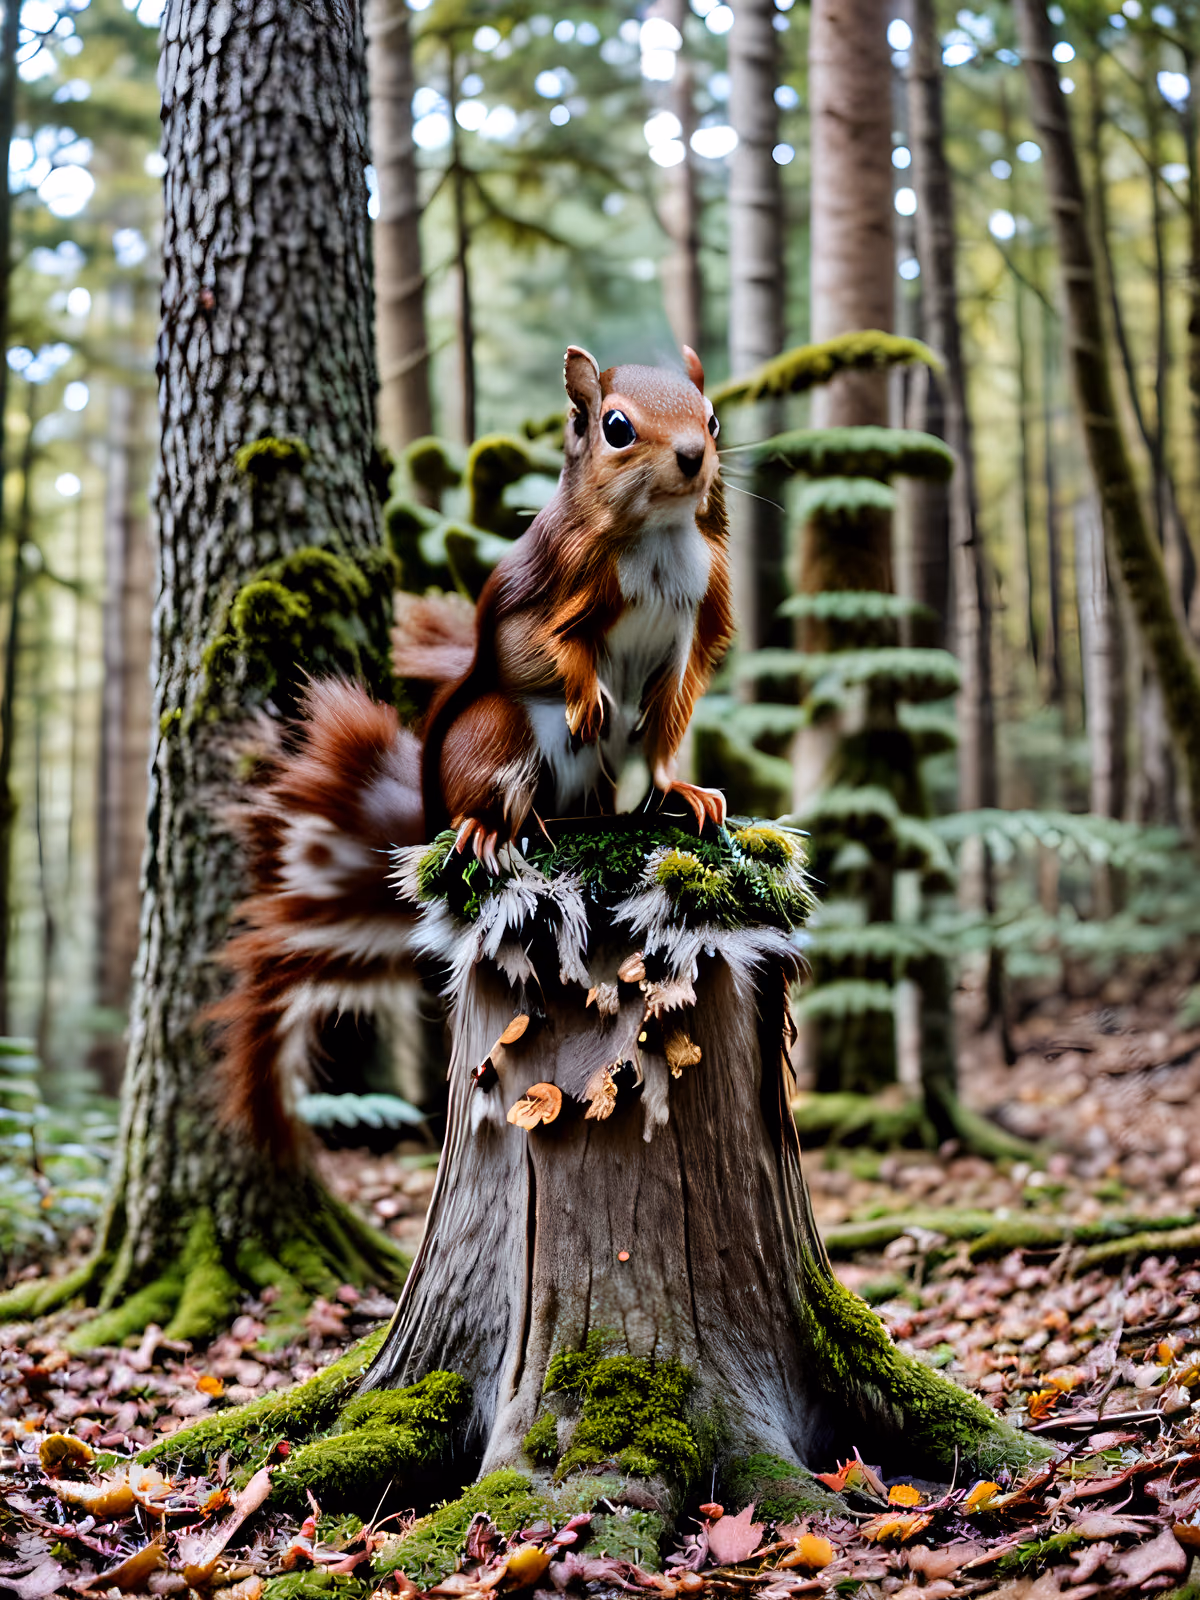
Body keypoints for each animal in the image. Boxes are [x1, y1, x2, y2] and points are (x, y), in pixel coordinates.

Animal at [215, 346, 732, 1150]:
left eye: (711, 419)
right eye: (616, 427)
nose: (693, 456)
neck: (657, 535)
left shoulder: (692, 622)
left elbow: (672, 709)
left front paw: (681, 781)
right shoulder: (551, 583)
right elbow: (538, 647)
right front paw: (587, 692)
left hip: (597, 777)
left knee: (628, 774)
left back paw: (654, 801)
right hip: (496, 728)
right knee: (495, 786)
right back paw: (488, 825)